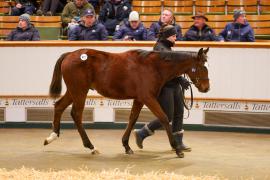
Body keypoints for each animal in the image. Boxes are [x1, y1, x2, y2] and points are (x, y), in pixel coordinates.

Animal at [44, 47, 210, 158]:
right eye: (202, 67)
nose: (206, 88)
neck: (153, 67)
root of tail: (69, 55)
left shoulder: (139, 99)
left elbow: (132, 119)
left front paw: (127, 145)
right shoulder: (148, 98)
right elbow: (163, 118)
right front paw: (177, 149)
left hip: (73, 91)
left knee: (59, 106)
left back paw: (52, 136)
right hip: (79, 92)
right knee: (76, 114)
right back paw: (91, 146)